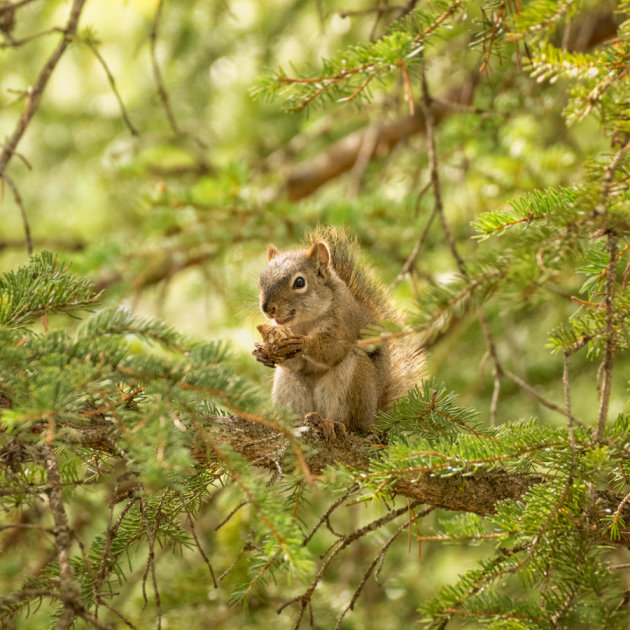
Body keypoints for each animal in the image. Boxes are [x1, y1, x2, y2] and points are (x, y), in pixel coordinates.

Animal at [253, 228, 424, 440]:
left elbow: (331, 350)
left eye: (299, 282)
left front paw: (304, 343)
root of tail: (374, 420)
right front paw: (262, 353)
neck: (306, 321)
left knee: (348, 421)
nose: (267, 308)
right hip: (288, 385)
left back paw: (333, 424)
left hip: (355, 381)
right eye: (261, 280)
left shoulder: (344, 322)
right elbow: (296, 363)